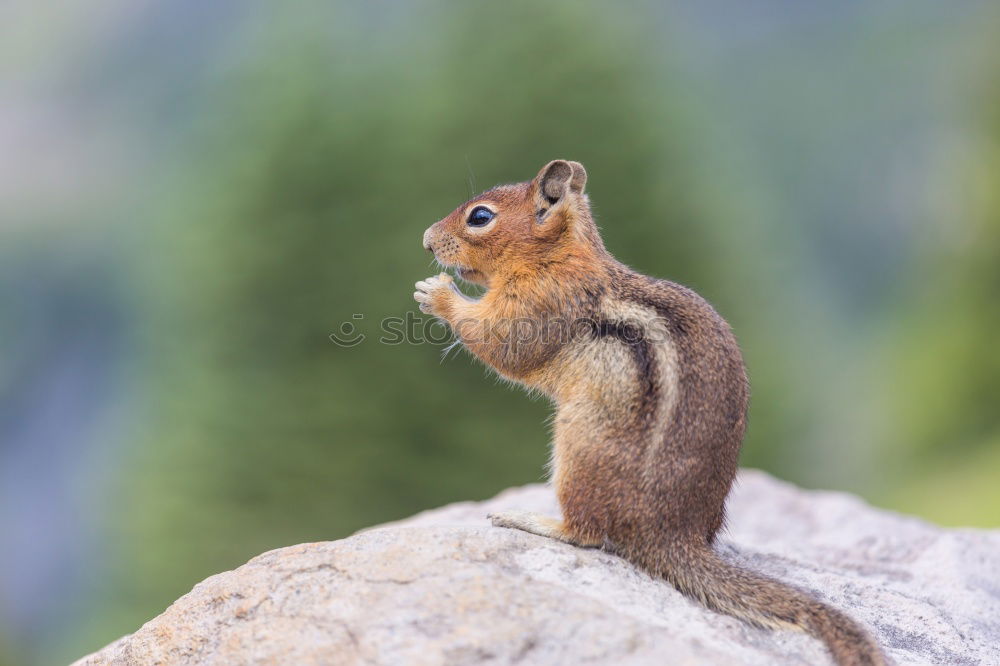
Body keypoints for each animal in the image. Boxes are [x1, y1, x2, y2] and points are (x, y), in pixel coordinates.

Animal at [418, 158, 888, 660]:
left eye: (480, 217)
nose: (426, 239)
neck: (557, 256)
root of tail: (671, 535)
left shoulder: (540, 301)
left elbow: (503, 343)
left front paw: (436, 294)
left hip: (578, 445)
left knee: (586, 533)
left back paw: (528, 519)